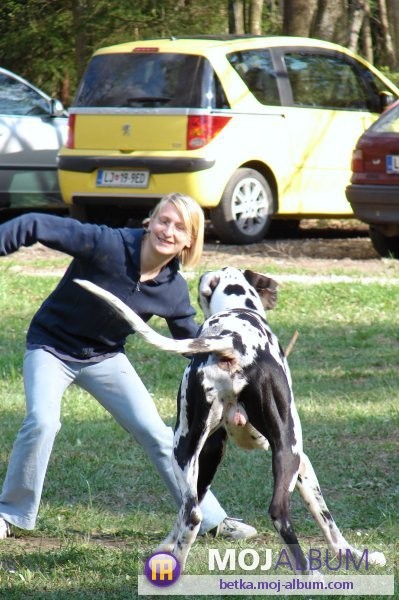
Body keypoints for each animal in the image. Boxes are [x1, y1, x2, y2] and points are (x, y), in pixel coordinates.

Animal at [76, 270, 388, 572]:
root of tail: (230, 341)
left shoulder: (212, 454)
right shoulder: (301, 462)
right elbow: (328, 523)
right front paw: (352, 555)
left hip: (185, 451)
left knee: (192, 514)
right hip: (278, 453)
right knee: (276, 513)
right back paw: (311, 576)